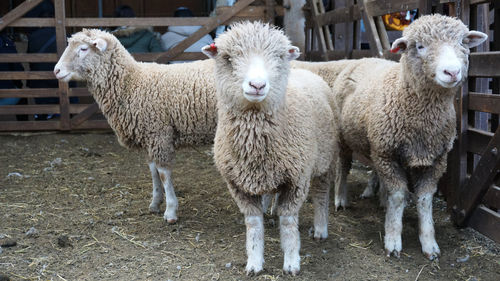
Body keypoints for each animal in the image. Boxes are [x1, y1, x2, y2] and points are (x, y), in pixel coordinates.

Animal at [53, 29, 218, 223]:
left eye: (84, 49)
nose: (56, 70)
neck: (131, 82)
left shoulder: (158, 134)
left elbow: (163, 173)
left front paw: (170, 211)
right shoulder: (149, 137)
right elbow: (153, 172)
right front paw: (155, 202)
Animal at [201, 21, 338, 276]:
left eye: (280, 57)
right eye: (227, 58)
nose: (257, 85)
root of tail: (304, 70)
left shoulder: (297, 180)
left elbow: (289, 222)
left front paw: (292, 262)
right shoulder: (238, 185)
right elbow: (254, 225)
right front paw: (254, 262)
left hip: (326, 160)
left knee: (321, 195)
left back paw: (320, 229)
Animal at [292, 14, 486, 260]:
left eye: (463, 43)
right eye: (419, 46)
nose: (451, 72)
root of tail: (363, 58)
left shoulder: (435, 160)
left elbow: (424, 200)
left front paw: (429, 243)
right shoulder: (388, 154)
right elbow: (398, 196)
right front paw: (393, 239)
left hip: (376, 144)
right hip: (346, 139)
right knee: (344, 167)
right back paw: (340, 198)